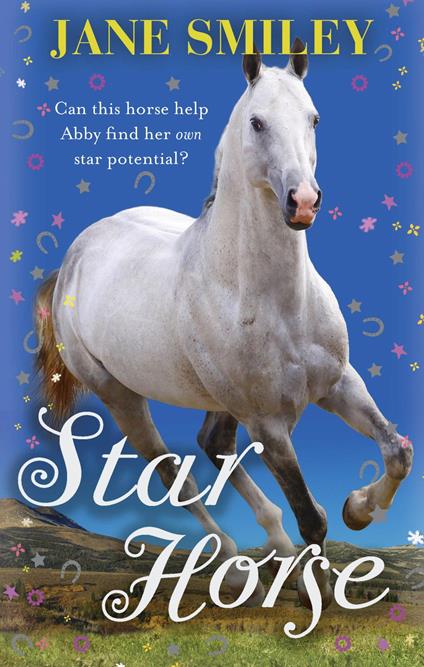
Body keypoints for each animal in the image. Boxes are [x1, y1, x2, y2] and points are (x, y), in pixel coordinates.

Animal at [35, 40, 412, 609]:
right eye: (257, 122)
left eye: (314, 118)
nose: (303, 202)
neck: (274, 302)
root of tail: (73, 258)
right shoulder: (268, 423)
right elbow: (310, 515)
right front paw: (317, 590)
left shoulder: (339, 384)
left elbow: (396, 451)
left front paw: (358, 510)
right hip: (119, 394)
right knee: (174, 475)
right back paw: (237, 568)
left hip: (218, 398)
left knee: (212, 442)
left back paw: (274, 552)